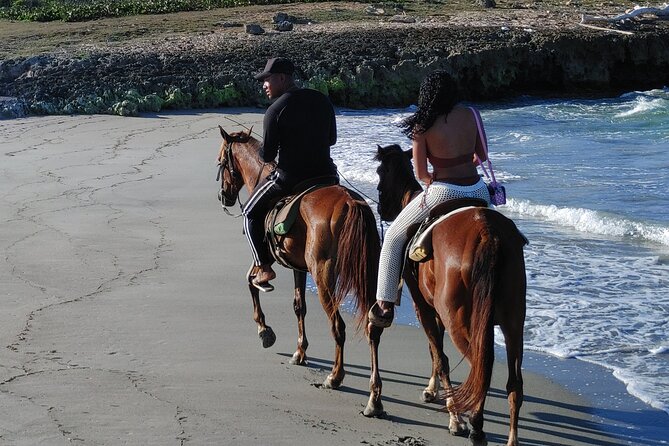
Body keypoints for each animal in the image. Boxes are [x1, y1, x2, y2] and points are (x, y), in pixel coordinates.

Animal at [214, 126, 380, 394]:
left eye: (221, 162)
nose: (224, 197)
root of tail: (349, 202)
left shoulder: (264, 257)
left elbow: (250, 281)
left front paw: (264, 330)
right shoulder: (299, 267)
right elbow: (299, 306)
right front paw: (300, 351)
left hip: (324, 276)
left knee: (338, 326)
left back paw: (335, 376)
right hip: (369, 271)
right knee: (372, 326)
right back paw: (375, 394)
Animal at [368, 144, 524, 446]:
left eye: (381, 172)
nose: (383, 208)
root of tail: (487, 232)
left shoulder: (423, 306)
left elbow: (438, 354)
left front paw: (453, 416)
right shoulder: (435, 309)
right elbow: (435, 349)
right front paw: (432, 390)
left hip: (460, 320)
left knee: (479, 367)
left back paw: (472, 425)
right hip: (514, 322)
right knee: (513, 381)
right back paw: (507, 437)